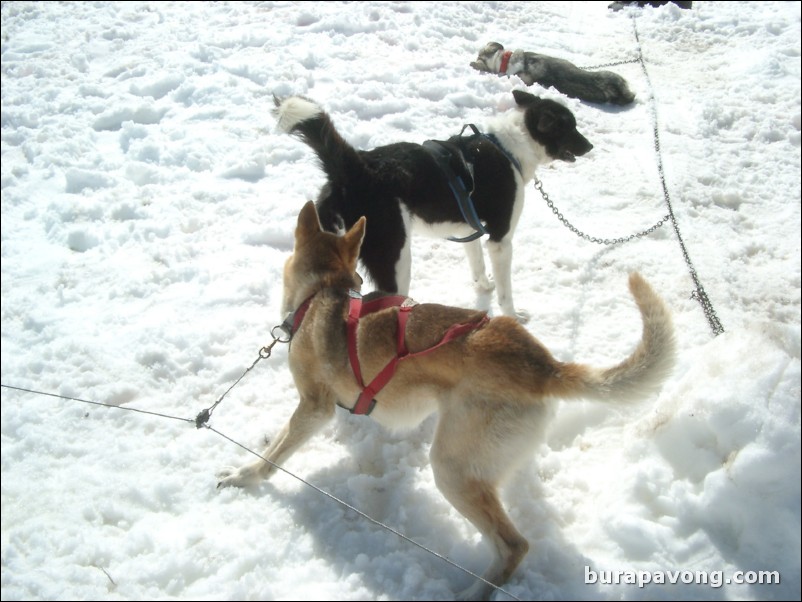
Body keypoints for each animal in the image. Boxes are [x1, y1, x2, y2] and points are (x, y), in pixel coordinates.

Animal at [216, 203, 672, 600]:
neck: (326, 290)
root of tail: (544, 365)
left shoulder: (313, 407)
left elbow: (272, 455)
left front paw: (245, 476)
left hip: (451, 468)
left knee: (515, 545)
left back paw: (475, 591)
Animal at [272, 88, 592, 318]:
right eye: (571, 127)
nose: (590, 146)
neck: (509, 147)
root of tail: (356, 166)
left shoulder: (470, 231)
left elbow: (477, 267)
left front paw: (484, 287)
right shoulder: (500, 241)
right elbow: (505, 293)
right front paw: (513, 315)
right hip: (396, 260)